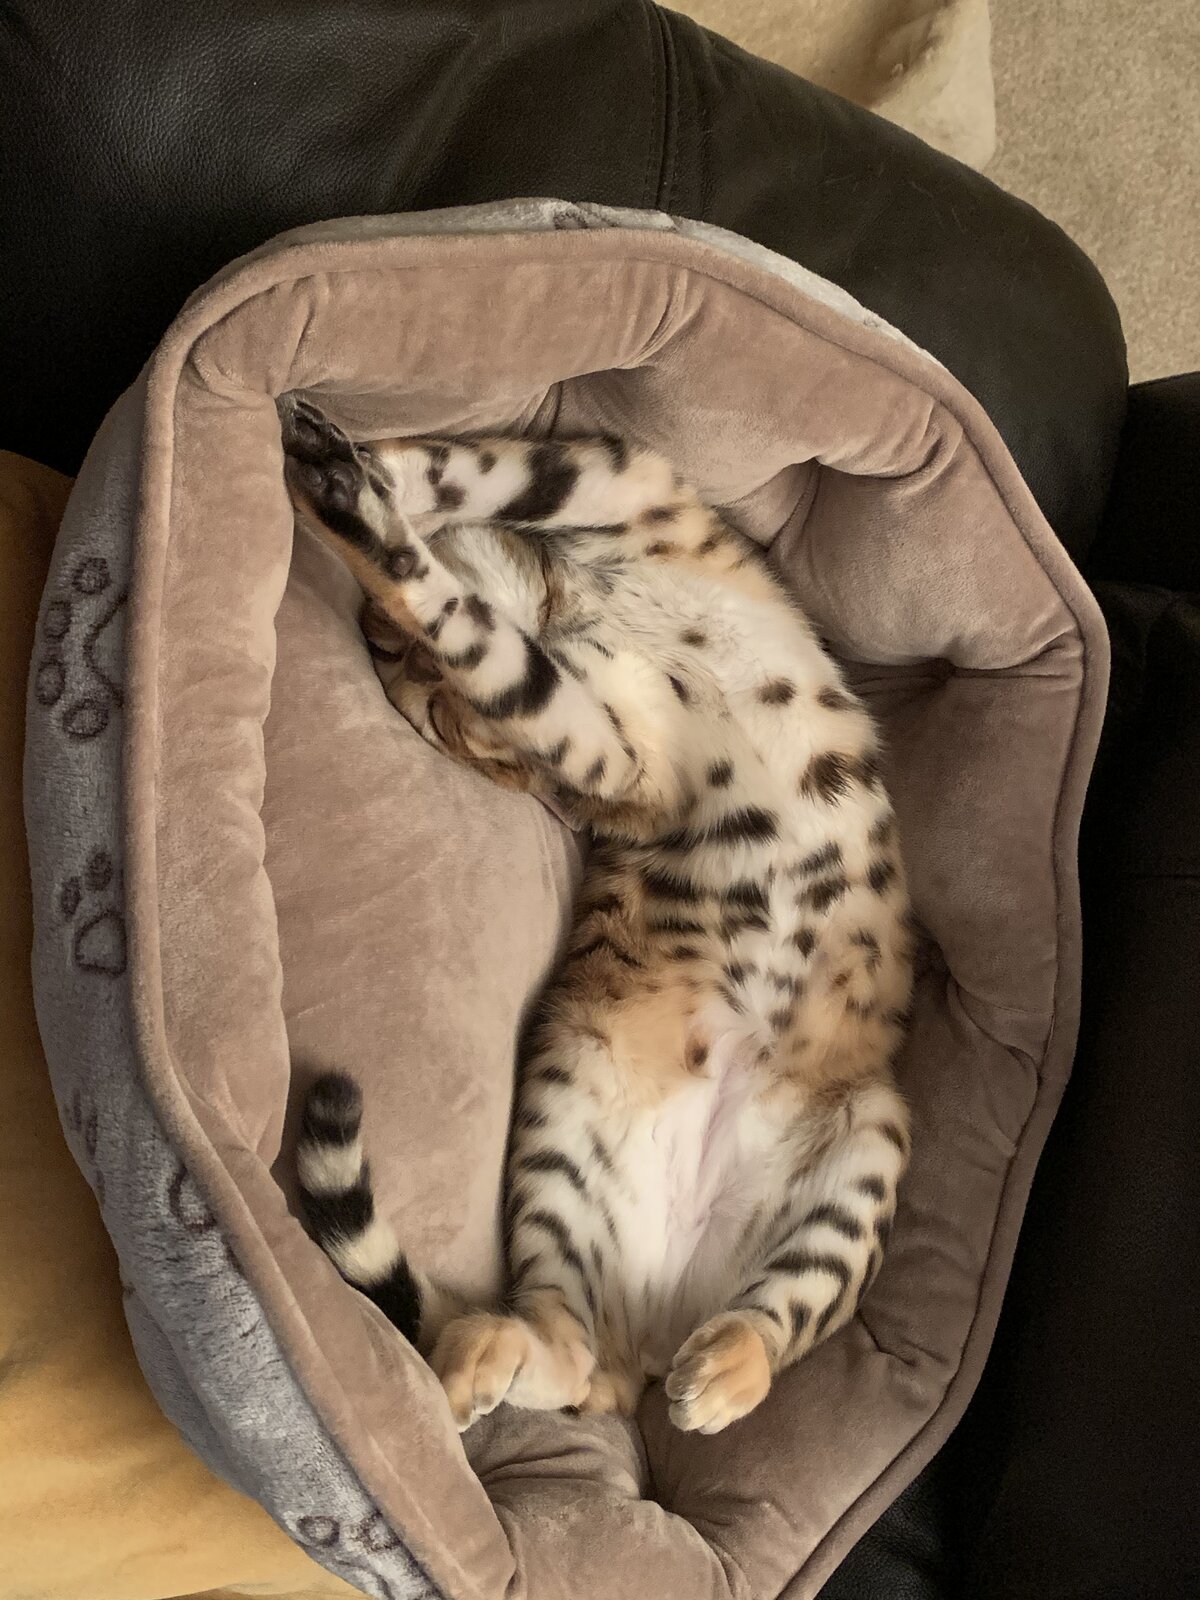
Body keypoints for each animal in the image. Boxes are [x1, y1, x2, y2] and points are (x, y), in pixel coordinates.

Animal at [281, 396, 913, 1435]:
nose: (468, 732)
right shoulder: (624, 757)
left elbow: (454, 482)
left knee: (772, 1316)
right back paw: (484, 1364)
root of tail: (655, 1341)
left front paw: (347, 475)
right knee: (565, 1347)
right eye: (440, 730)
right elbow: (502, 653)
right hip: (564, 1125)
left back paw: (721, 1371)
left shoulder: (614, 477)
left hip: (868, 1147)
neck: (569, 602)